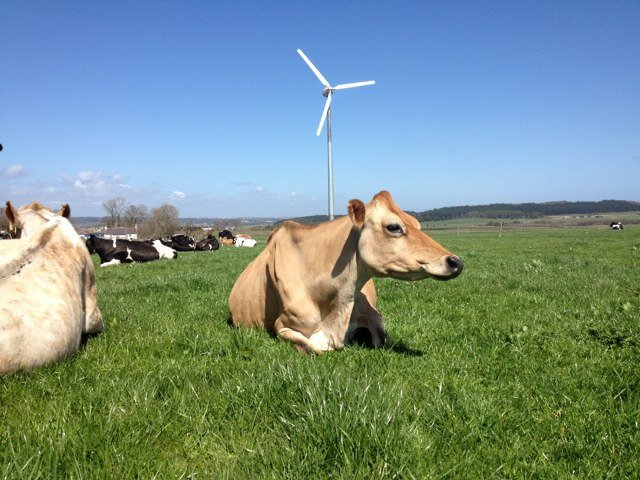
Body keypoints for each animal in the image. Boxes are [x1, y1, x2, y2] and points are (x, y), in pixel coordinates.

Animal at [230, 190, 464, 352]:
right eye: (394, 227)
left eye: (417, 223)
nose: (456, 262)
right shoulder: (282, 326)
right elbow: (314, 348)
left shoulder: (372, 313)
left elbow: (384, 338)